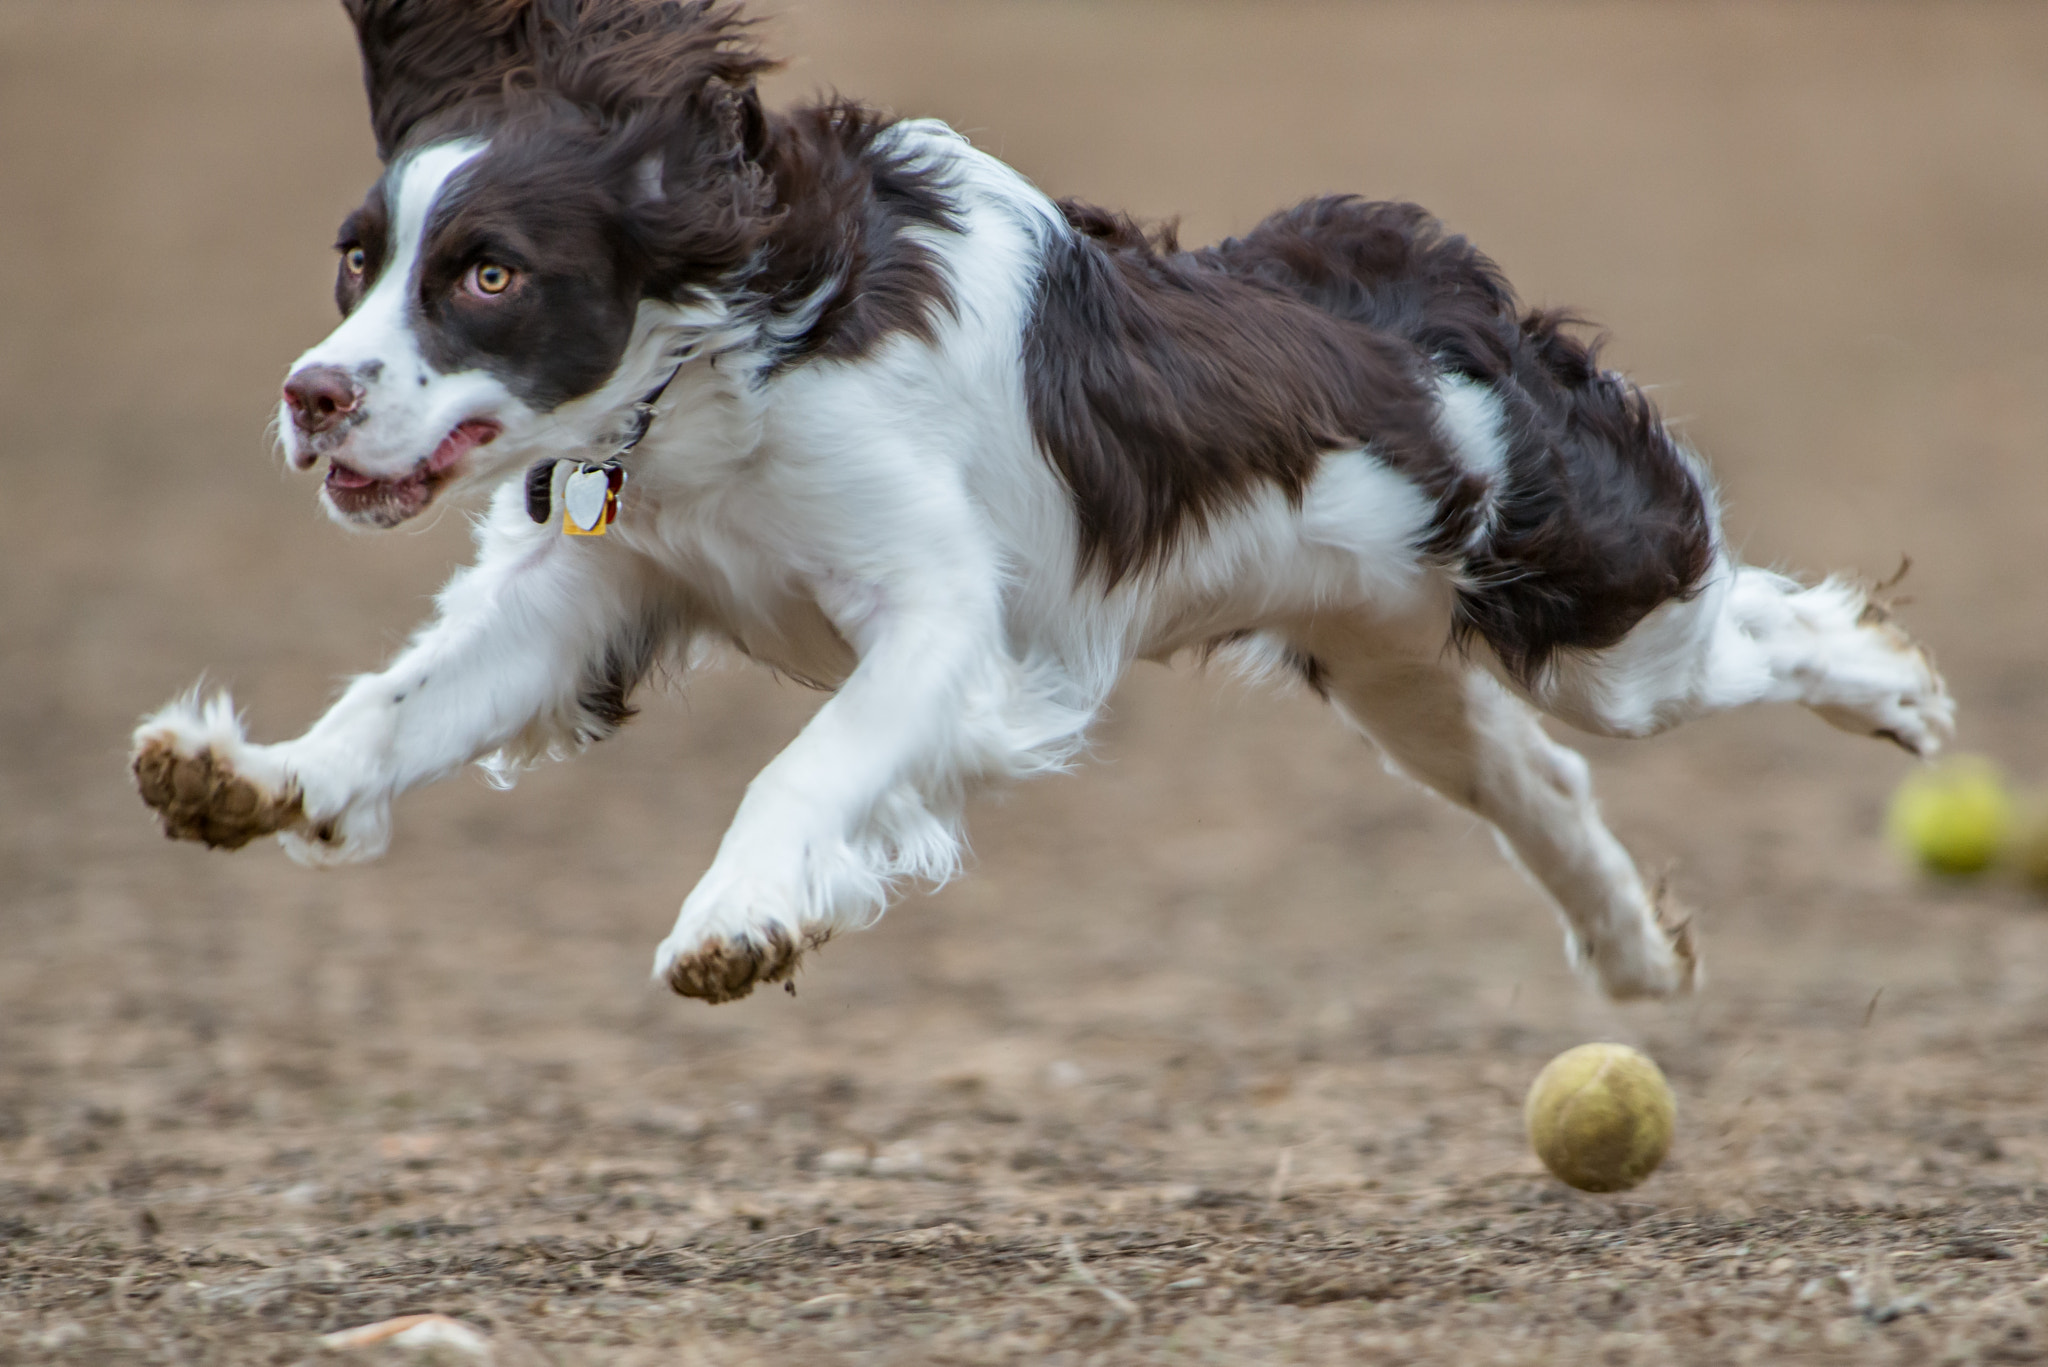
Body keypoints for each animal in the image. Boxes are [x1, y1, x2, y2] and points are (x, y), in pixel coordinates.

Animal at [128, 0, 1949, 1004]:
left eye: (489, 275)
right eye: (355, 266)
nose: (311, 393)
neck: (716, 370)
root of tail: (1418, 279)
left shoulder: (948, 620)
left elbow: (806, 768)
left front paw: (739, 917)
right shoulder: (595, 592)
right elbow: (402, 706)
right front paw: (248, 778)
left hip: (1590, 611)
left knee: (1743, 631)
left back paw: (1899, 697)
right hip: (1389, 658)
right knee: (1532, 778)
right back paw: (1632, 953)